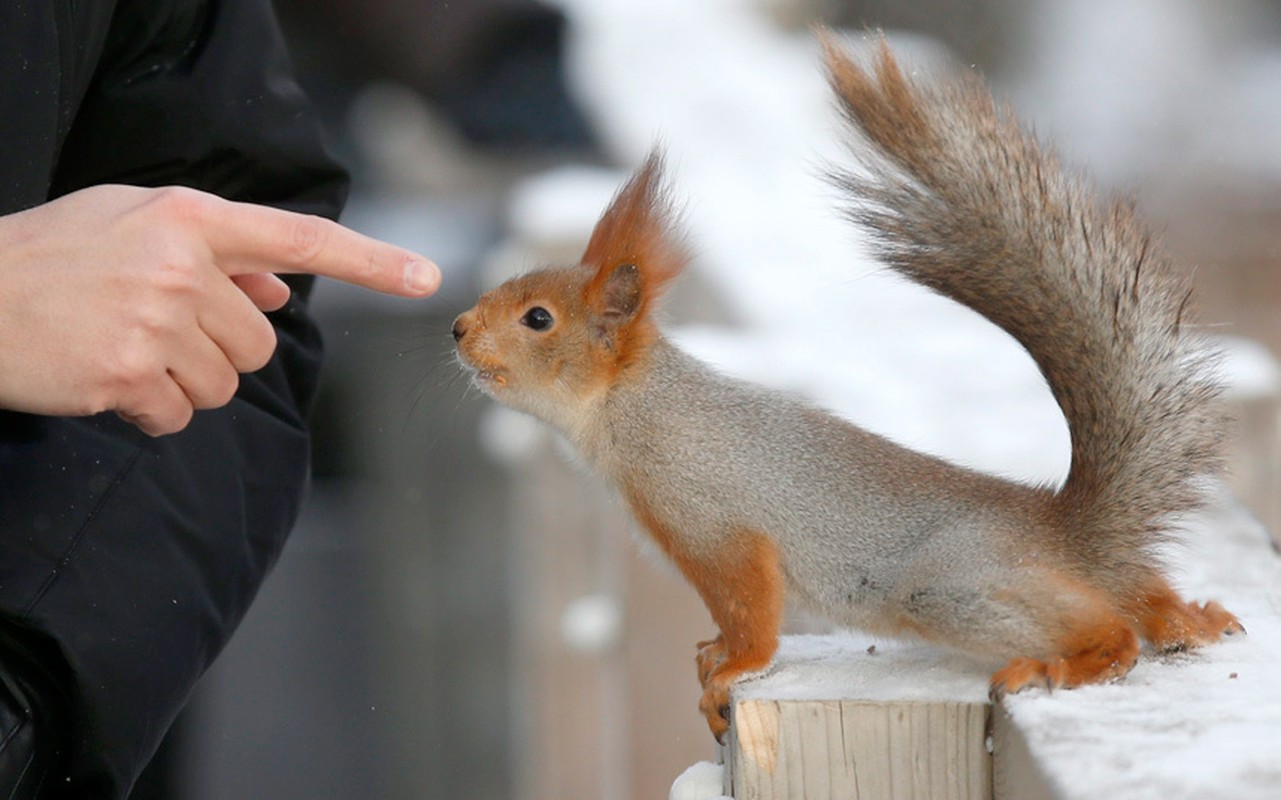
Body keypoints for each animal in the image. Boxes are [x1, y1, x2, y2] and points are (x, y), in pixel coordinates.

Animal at [448, 34, 1240, 737]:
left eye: (538, 318)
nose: (457, 329)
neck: (628, 406)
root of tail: (1071, 534)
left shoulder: (711, 520)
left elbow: (748, 608)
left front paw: (732, 668)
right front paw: (711, 654)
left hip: (950, 584)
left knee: (1112, 628)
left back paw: (1071, 663)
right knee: (1146, 597)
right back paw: (1195, 619)